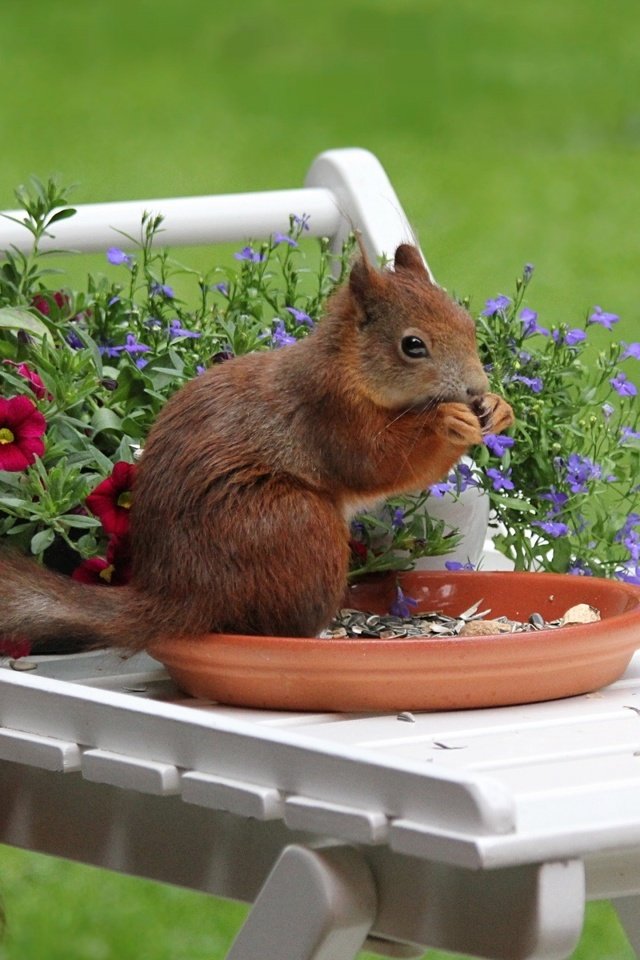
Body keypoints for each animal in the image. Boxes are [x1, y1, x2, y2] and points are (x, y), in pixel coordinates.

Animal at [0, 248, 512, 652]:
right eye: (413, 345)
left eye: (467, 325)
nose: (475, 390)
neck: (348, 369)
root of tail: (179, 597)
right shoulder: (331, 416)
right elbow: (377, 463)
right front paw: (448, 421)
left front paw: (499, 409)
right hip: (295, 522)